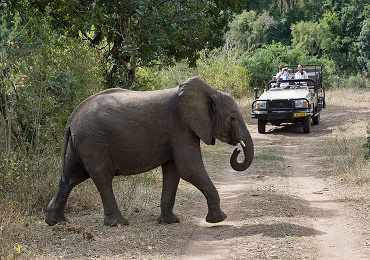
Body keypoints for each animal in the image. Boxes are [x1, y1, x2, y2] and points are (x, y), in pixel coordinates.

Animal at [45, 76, 254, 226]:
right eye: (233, 118)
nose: (237, 150)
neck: (210, 92)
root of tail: (71, 119)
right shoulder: (181, 128)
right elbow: (189, 169)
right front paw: (219, 219)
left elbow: (174, 171)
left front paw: (169, 222)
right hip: (93, 141)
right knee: (102, 177)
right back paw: (118, 223)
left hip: (82, 143)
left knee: (71, 176)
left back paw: (55, 222)